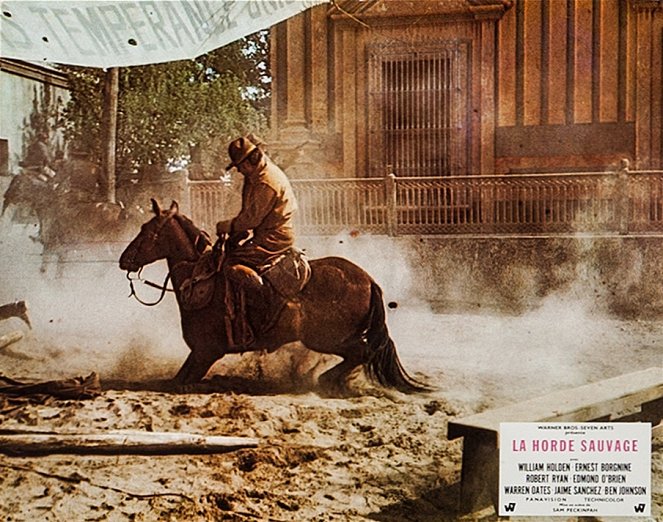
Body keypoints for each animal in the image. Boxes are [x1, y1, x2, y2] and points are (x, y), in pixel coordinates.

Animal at [119, 199, 426, 394]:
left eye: (146, 230)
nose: (124, 260)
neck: (201, 277)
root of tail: (369, 280)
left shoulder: (207, 353)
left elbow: (178, 382)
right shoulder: (198, 354)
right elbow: (171, 379)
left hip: (325, 338)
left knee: (362, 352)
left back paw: (325, 381)